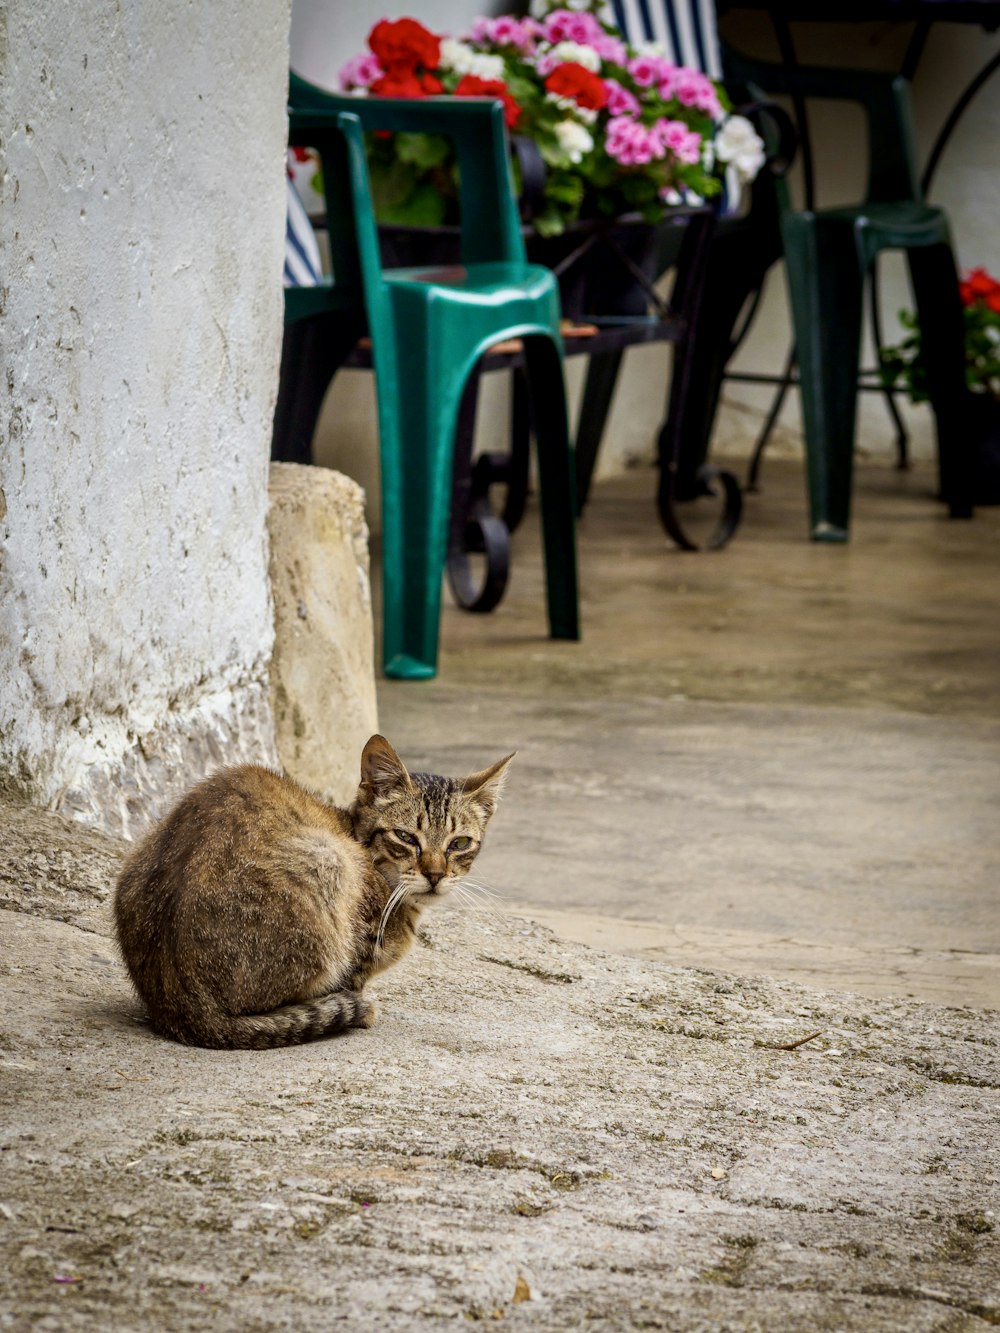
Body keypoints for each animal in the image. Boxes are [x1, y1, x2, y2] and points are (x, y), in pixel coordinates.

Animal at [113, 735, 512, 1045]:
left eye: (460, 843)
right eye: (405, 837)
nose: (435, 874)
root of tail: (183, 1008)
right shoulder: (356, 946)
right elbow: (353, 979)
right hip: (329, 860)